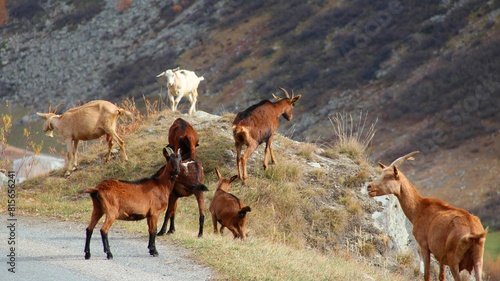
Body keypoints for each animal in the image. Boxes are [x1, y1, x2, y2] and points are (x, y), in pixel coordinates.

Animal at [366, 151, 486, 280]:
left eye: (388, 176)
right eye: (381, 173)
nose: (369, 187)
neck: (419, 209)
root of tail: (474, 234)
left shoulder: (424, 246)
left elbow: (427, 275)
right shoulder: (441, 256)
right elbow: (441, 276)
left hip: (454, 260)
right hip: (478, 261)